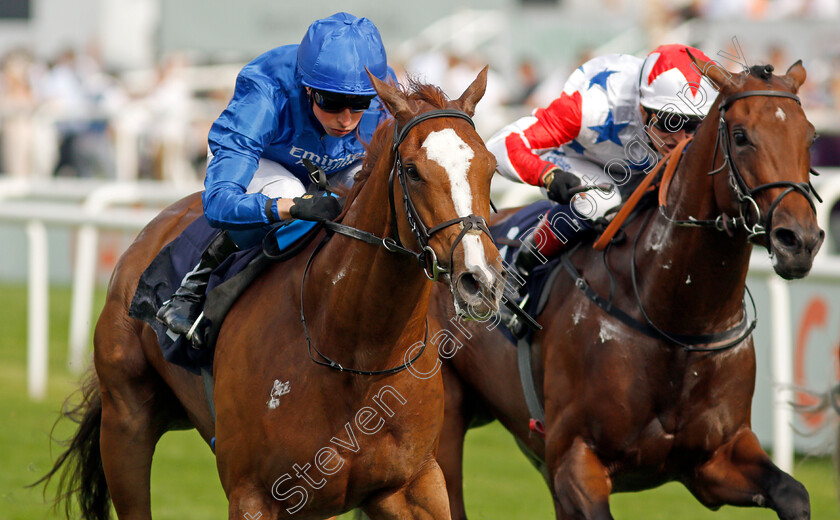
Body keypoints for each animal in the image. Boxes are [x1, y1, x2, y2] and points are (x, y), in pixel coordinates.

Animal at [39, 70, 502, 520]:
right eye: (412, 170)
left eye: (491, 167)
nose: (480, 278)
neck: (356, 355)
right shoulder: (255, 495)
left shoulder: (413, 485)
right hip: (125, 423)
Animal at [430, 57, 824, 520]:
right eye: (742, 136)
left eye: (811, 136)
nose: (799, 241)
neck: (676, 320)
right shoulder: (575, 461)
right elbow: (512, 139)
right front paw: (563, 185)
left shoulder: (716, 460)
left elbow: (793, 494)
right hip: (446, 424)